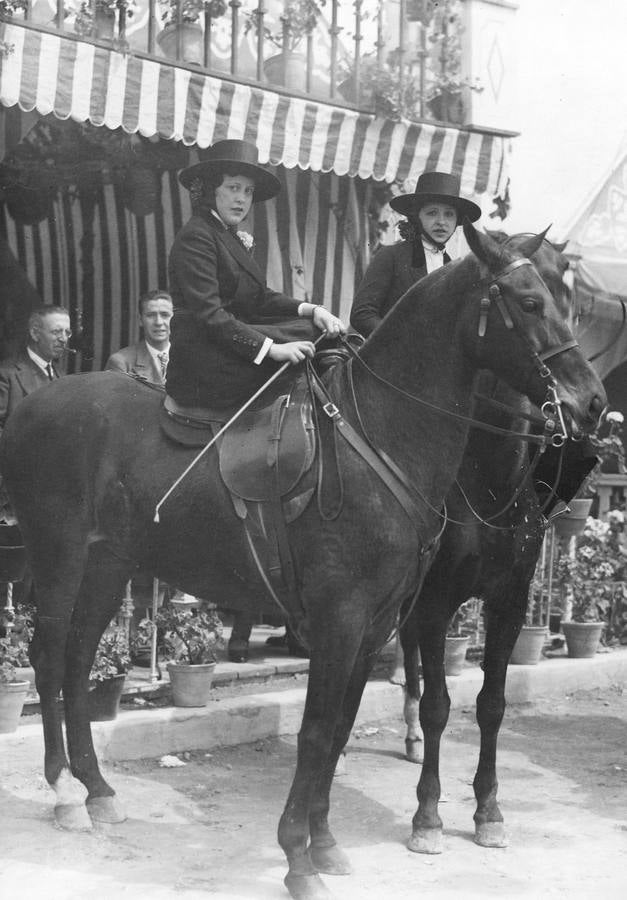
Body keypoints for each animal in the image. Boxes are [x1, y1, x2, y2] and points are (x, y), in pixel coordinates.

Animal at [1, 225, 608, 900]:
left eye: (567, 299)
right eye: (529, 301)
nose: (593, 403)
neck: (382, 436)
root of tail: (31, 407)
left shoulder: (380, 623)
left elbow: (341, 726)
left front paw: (325, 842)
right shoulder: (344, 618)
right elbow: (317, 730)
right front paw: (298, 856)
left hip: (109, 566)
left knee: (79, 660)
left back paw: (98, 789)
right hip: (58, 559)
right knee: (49, 658)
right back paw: (63, 791)